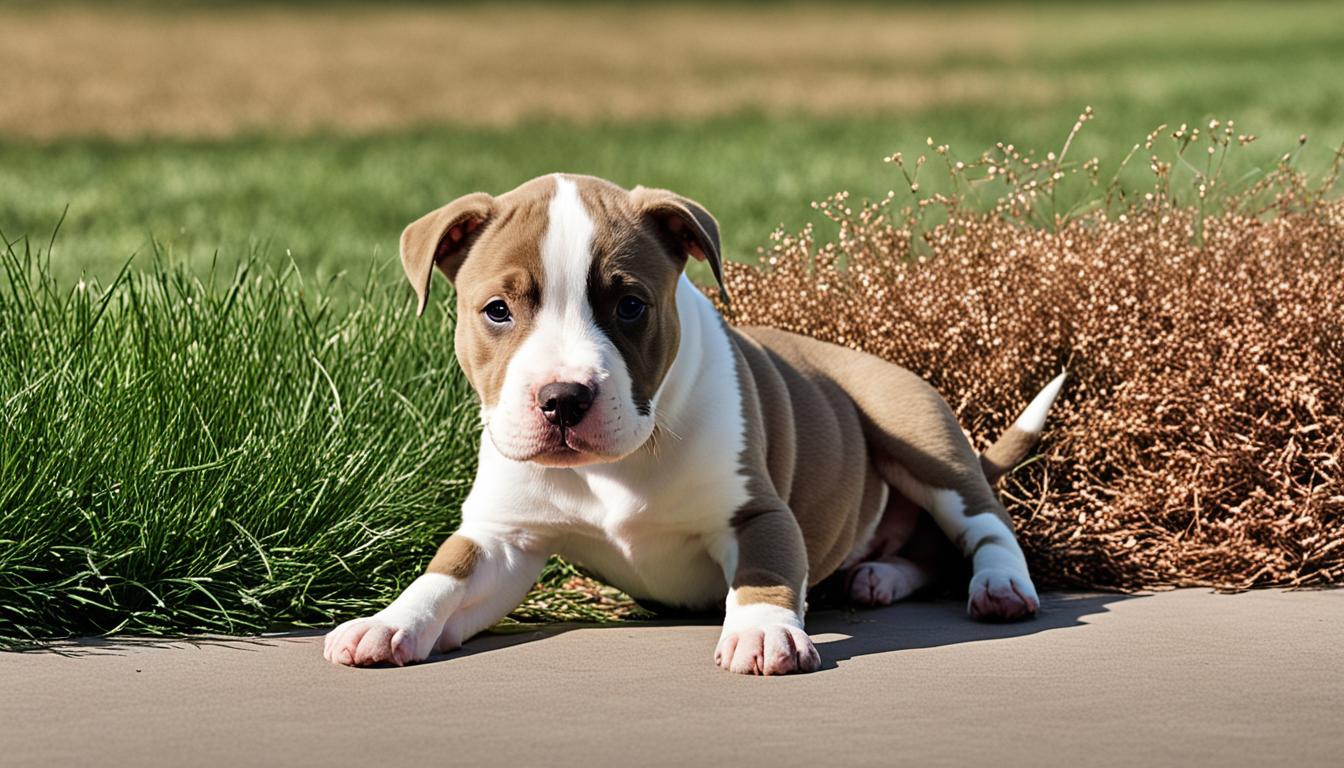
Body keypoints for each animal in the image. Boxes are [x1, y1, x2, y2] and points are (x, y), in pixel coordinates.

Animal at [322, 172, 1059, 672]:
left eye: (630, 306)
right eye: (497, 310)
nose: (563, 398)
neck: (613, 467)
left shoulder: (757, 513)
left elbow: (764, 570)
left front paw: (762, 631)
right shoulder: (504, 538)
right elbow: (445, 575)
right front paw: (388, 622)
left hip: (916, 433)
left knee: (984, 524)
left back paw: (999, 587)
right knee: (926, 554)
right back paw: (880, 578)